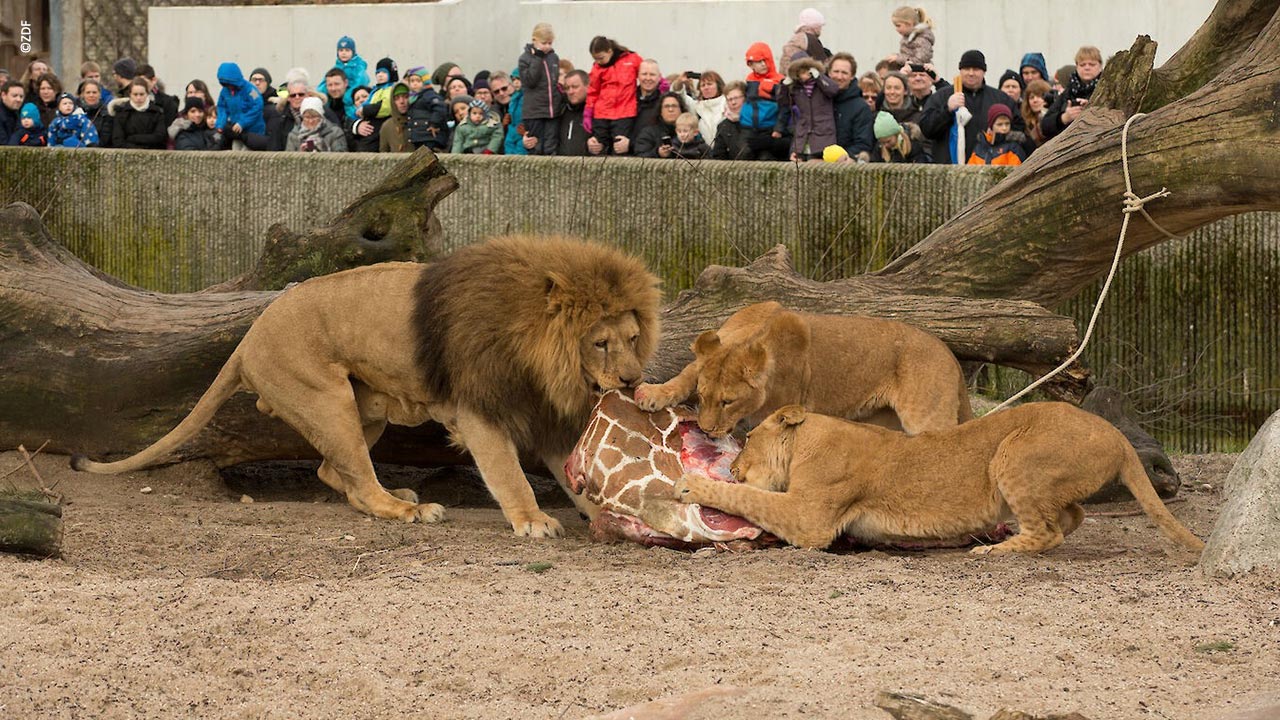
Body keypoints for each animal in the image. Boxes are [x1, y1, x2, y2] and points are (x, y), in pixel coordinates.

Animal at [72, 233, 660, 535]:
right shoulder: (480, 412)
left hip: (366, 410)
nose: (633, 379)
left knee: (335, 472)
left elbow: (572, 474)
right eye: (600, 343)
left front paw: (602, 515)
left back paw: (399, 492)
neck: (545, 357)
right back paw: (410, 509)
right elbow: (510, 475)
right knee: (356, 484)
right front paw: (534, 521)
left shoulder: (543, 412)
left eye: (633, 338)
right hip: (326, 397)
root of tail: (249, 335)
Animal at [634, 299, 972, 435]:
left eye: (728, 402)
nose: (704, 429)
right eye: (703, 397)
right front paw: (653, 393)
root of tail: (948, 352)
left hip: (925, 417)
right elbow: (685, 374)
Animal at [675, 399, 1203, 550]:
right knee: (1070, 518)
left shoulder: (811, 519)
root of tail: (1114, 433)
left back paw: (994, 551)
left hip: (1011, 456)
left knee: (1049, 532)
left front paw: (692, 484)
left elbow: (750, 498)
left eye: (748, 440)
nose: (735, 465)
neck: (810, 440)